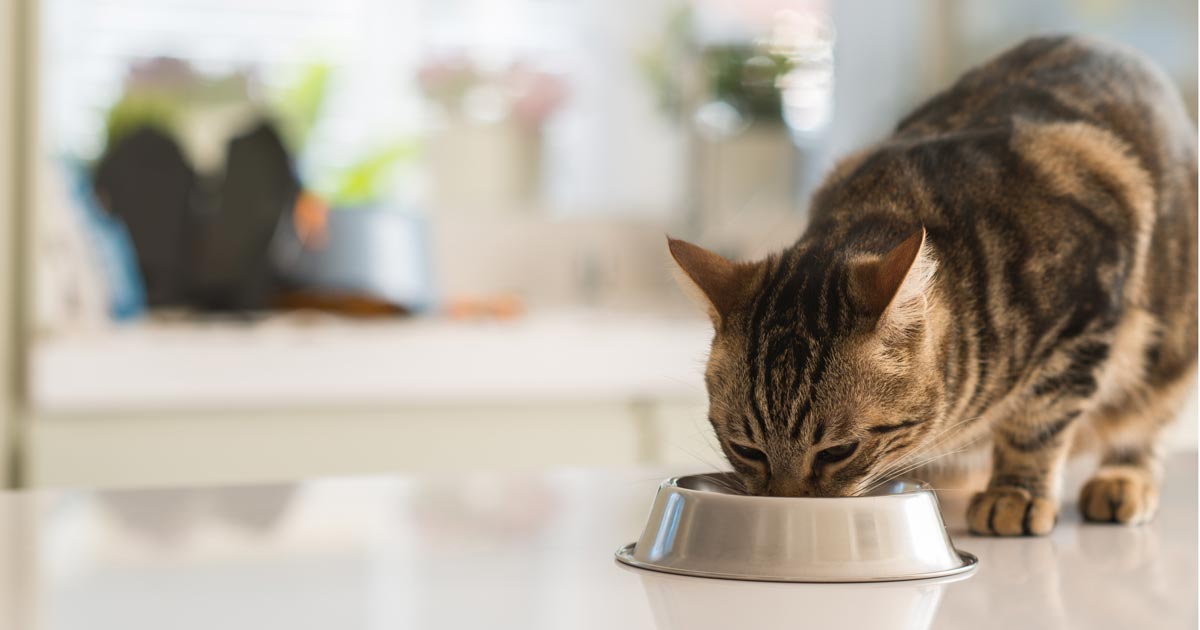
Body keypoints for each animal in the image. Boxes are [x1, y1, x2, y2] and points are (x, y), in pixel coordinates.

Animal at [672, 35, 1195, 535]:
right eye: (747, 449)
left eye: (838, 451)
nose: (783, 506)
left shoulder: (1086, 308)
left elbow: (1037, 421)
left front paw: (1016, 492)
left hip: (1169, 355)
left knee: (1143, 424)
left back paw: (1123, 478)